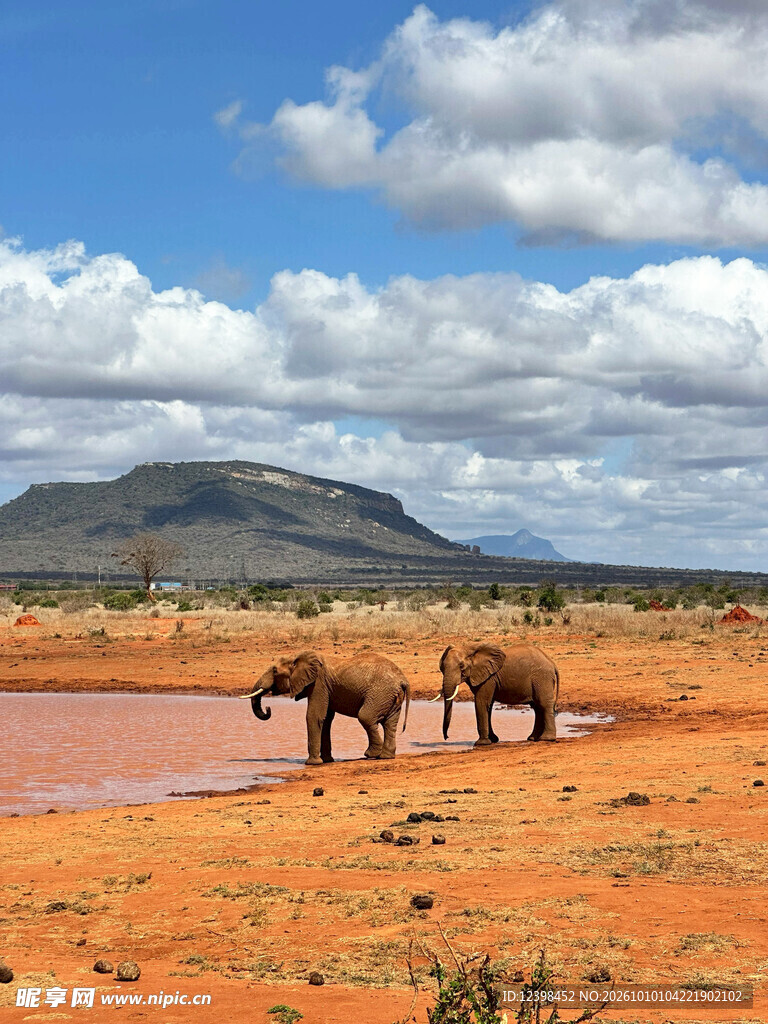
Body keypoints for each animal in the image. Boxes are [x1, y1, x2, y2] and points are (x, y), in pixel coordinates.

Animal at [239, 650, 410, 765]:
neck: (299, 657)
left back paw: (371, 754)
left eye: (275, 671)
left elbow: (314, 715)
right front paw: (327, 760)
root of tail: (403, 680)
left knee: (366, 717)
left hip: (380, 693)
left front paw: (312, 763)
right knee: (389, 723)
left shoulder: (318, 683)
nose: (268, 708)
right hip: (390, 695)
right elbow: (326, 719)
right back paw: (385, 756)